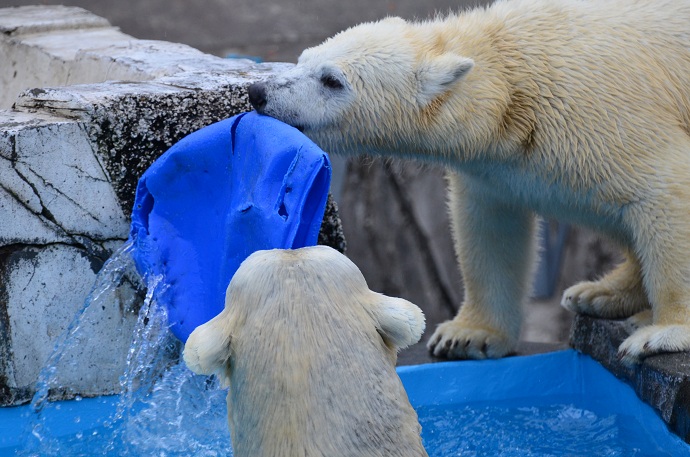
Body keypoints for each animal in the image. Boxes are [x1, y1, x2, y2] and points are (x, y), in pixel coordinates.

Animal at [249, 0, 690, 364]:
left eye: (332, 80)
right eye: (303, 59)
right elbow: (490, 226)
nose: (258, 91)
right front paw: (467, 335)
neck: (511, 82)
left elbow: (665, 188)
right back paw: (598, 294)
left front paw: (665, 333)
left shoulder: (602, 116)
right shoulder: (497, 165)